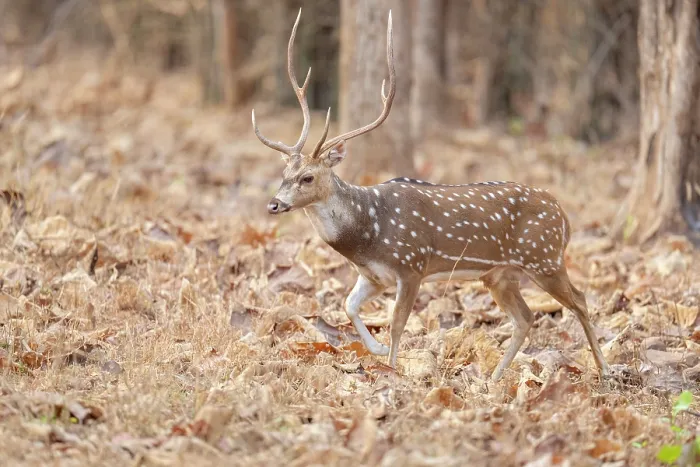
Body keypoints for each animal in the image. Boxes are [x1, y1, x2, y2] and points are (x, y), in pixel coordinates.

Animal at [251, 9, 611, 382]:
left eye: (307, 177)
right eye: (283, 174)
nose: (274, 204)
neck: (366, 231)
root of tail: (564, 216)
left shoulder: (411, 265)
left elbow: (396, 324)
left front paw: (391, 370)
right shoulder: (373, 276)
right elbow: (348, 306)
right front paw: (377, 350)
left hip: (544, 257)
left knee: (580, 299)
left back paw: (605, 368)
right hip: (499, 274)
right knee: (526, 317)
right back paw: (494, 378)